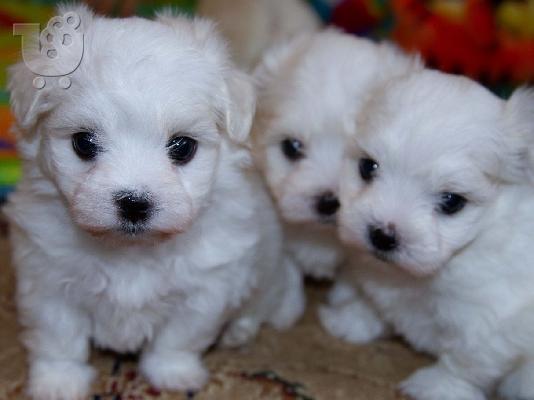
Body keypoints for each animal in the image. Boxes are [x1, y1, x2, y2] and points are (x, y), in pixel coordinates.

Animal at [6, 7, 304, 400]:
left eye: (183, 147)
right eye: (84, 143)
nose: (134, 202)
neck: (132, 252)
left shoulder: (206, 289)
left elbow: (179, 338)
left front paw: (172, 373)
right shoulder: (47, 278)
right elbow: (59, 336)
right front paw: (58, 382)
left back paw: (241, 330)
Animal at [251, 29, 422, 340]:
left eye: (368, 165)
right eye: (292, 147)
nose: (329, 202)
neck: (322, 235)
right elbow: (287, 268)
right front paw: (284, 308)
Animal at [340, 70, 534, 398]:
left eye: (451, 201)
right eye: (367, 167)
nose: (382, 235)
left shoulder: (494, 319)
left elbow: (466, 360)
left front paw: (437, 387)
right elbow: (375, 301)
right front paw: (352, 319)